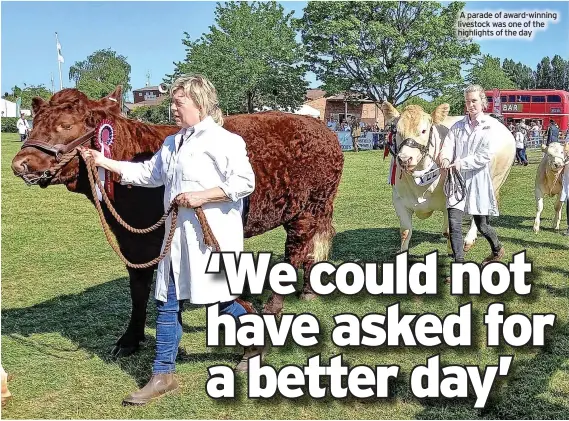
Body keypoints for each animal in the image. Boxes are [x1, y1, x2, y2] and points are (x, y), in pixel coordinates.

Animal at [12, 87, 342, 356]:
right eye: (34, 123)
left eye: (66, 125)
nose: (19, 164)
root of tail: (321, 128)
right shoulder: (131, 239)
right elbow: (139, 286)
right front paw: (132, 339)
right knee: (313, 246)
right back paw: (309, 290)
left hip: (308, 208)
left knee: (295, 252)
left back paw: (274, 310)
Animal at [382, 103, 516, 251]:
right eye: (396, 131)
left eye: (423, 131)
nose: (405, 159)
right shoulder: (399, 201)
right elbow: (405, 232)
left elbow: (448, 232)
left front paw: (452, 250)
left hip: (496, 179)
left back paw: (469, 239)